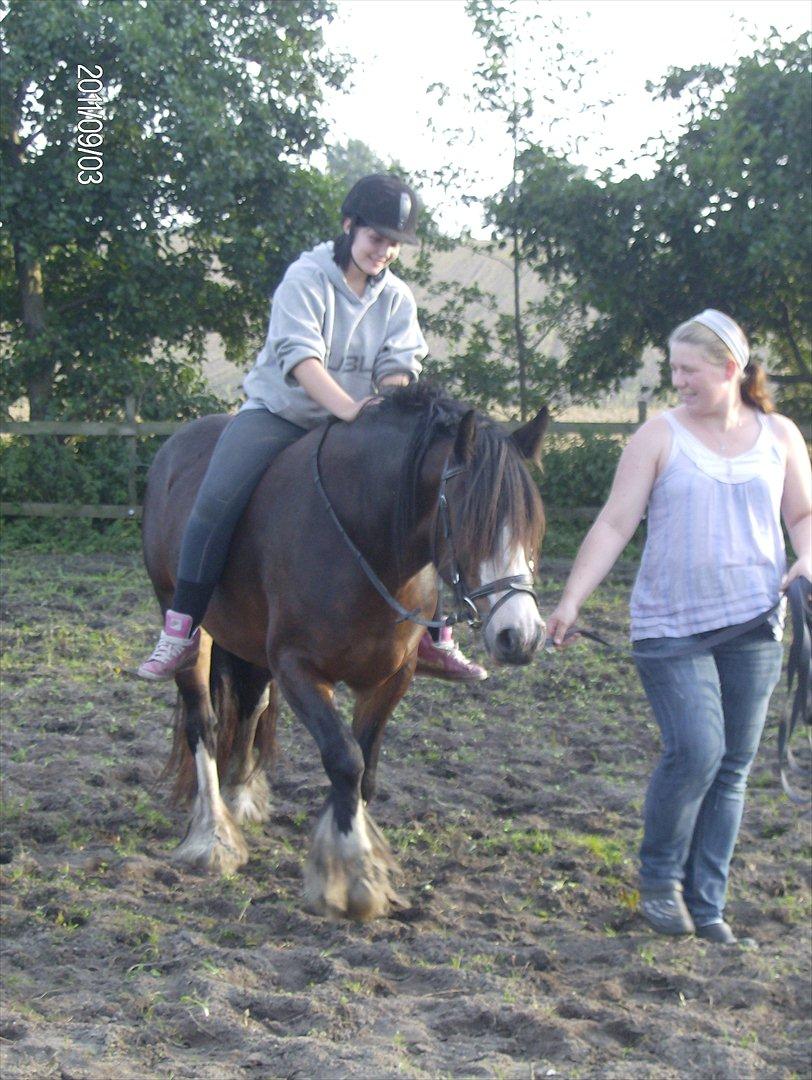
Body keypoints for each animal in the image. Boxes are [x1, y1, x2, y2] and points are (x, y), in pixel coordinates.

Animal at [144, 386, 552, 920]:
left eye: (532, 525)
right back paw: (213, 836)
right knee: (204, 723)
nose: (520, 636)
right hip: (191, 626)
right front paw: (354, 877)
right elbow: (345, 761)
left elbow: (367, 770)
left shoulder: (391, 678)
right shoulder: (297, 668)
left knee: (250, 706)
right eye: (470, 521)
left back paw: (240, 798)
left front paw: (361, 860)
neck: (364, 541)